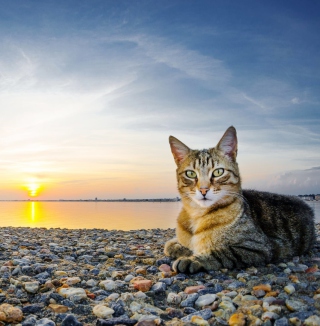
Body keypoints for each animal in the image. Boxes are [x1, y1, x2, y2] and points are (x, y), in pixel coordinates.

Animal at [165, 126, 316, 274]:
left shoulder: (259, 247)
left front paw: (194, 259)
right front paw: (178, 246)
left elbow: (221, 252)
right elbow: (174, 245)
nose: (203, 189)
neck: (196, 214)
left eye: (218, 172)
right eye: (190, 174)